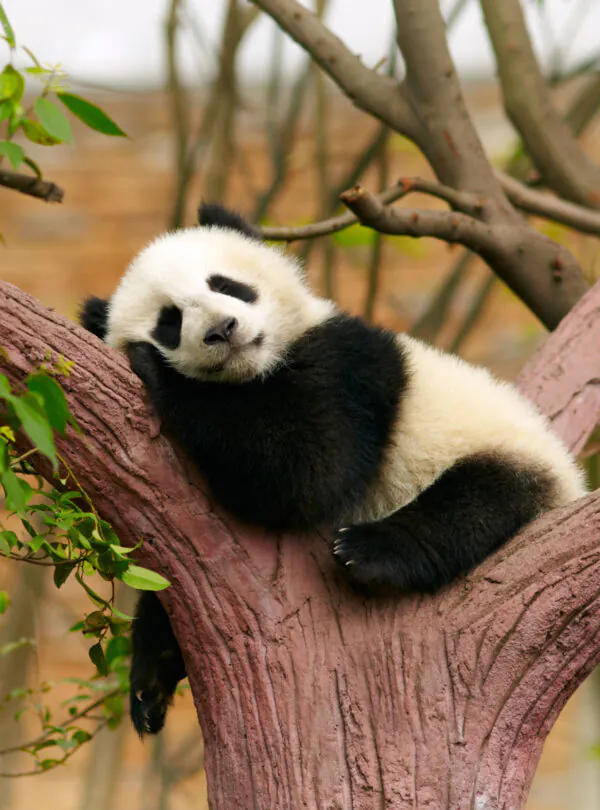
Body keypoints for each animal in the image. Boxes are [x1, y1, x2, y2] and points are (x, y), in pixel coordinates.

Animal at [80, 202, 586, 736]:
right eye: (170, 321)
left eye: (226, 285)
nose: (223, 329)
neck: (255, 370)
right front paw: (150, 677)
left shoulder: (347, 366)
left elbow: (307, 471)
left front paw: (157, 371)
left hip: (505, 452)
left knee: (476, 501)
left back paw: (369, 551)